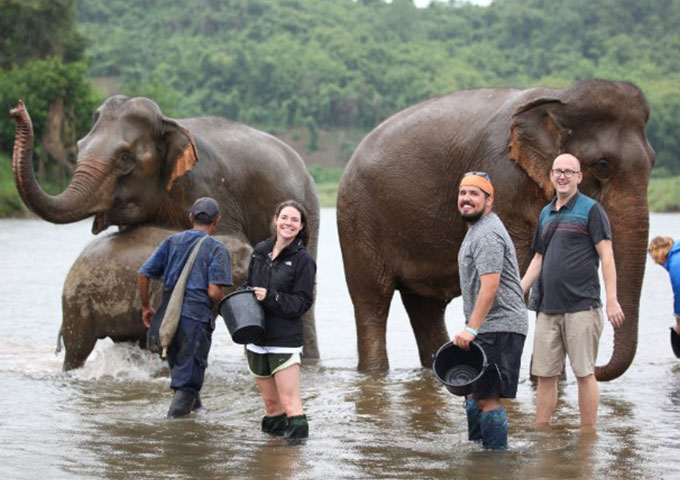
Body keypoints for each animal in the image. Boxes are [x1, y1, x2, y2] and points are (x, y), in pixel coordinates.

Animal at [338, 79, 656, 380]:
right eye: (602, 166)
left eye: (653, 162)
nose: (598, 368)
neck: (561, 97)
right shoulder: (504, 180)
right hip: (358, 218)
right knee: (372, 298)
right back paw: (375, 372)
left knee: (425, 306)